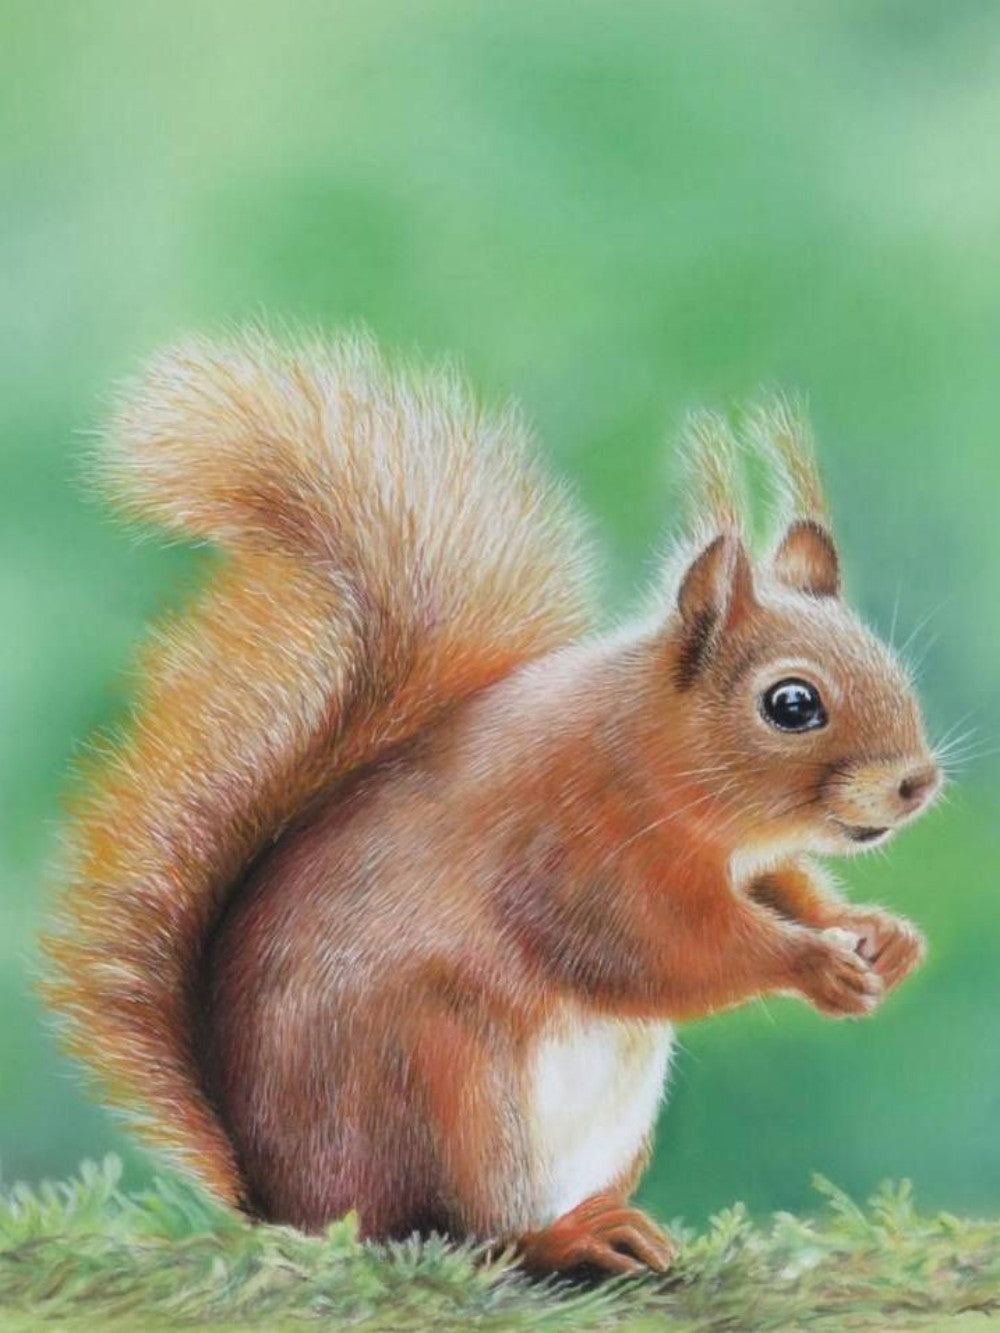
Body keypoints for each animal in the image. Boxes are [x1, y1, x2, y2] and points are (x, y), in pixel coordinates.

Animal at [42, 331, 941, 1278]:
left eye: (885, 657)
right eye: (791, 703)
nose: (917, 781)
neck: (650, 753)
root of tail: (282, 1199)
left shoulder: (746, 860)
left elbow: (788, 889)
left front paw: (879, 935)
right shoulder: (575, 850)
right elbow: (664, 949)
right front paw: (814, 963)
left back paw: (611, 1220)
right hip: (442, 1081)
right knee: (461, 1228)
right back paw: (565, 1236)